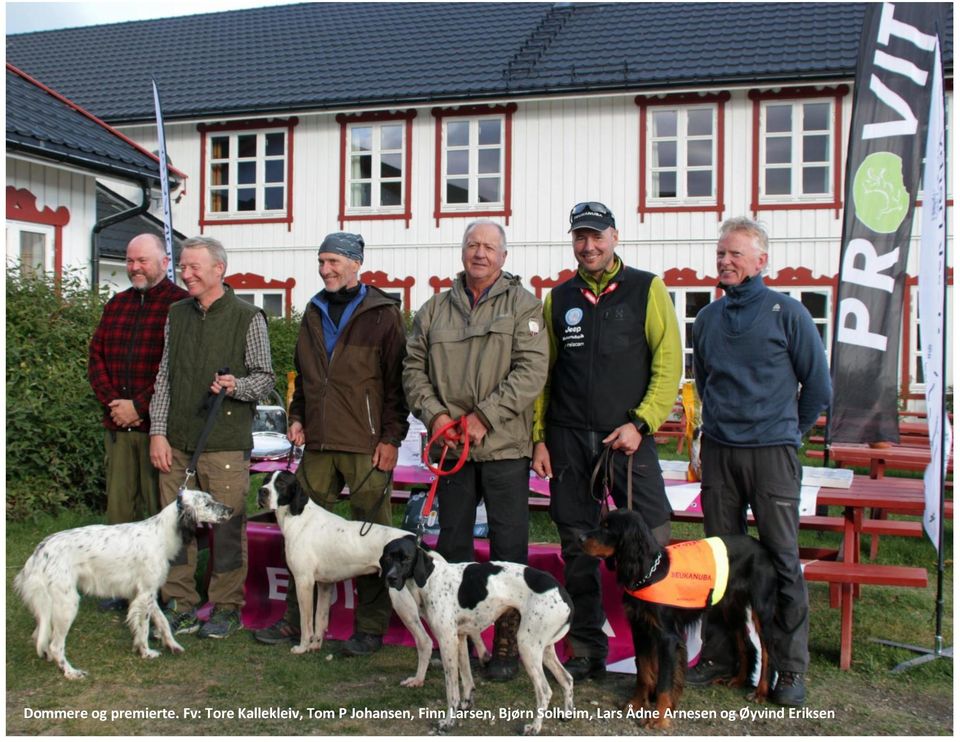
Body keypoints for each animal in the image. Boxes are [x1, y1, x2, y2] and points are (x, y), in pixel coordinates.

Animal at [15, 488, 234, 680]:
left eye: (212, 499)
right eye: (207, 504)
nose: (231, 510)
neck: (161, 534)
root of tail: (39, 552)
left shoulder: (148, 593)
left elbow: (162, 621)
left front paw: (172, 645)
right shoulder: (144, 594)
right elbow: (144, 627)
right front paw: (146, 652)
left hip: (50, 606)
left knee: (39, 636)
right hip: (67, 605)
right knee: (55, 645)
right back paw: (71, 672)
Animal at [378, 536, 572, 740]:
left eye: (406, 558)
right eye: (388, 558)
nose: (391, 578)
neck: (430, 580)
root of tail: (562, 591)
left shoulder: (447, 641)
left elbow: (451, 689)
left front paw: (449, 722)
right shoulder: (460, 638)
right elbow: (466, 678)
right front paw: (466, 704)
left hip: (527, 647)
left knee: (545, 691)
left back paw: (535, 727)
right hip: (542, 648)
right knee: (567, 679)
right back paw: (567, 714)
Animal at [580, 512, 776, 732]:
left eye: (607, 528)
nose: (579, 538)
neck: (648, 572)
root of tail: (760, 546)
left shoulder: (667, 638)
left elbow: (665, 680)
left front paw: (659, 717)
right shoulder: (640, 629)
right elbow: (643, 671)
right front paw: (636, 703)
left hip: (762, 608)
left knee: (768, 651)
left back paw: (760, 692)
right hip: (730, 606)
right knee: (745, 644)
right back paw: (738, 680)